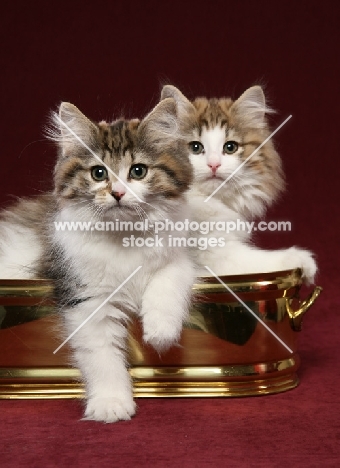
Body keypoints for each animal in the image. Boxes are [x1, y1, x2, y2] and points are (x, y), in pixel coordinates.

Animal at [0, 97, 197, 422]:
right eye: (98, 173)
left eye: (138, 171)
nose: (117, 193)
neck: (124, 237)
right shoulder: (86, 297)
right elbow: (101, 355)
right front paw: (111, 403)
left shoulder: (181, 256)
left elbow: (168, 281)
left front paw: (160, 333)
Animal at [161, 84, 318, 284]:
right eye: (195, 147)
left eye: (230, 147)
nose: (214, 164)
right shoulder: (214, 251)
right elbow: (256, 259)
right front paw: (302, 260)